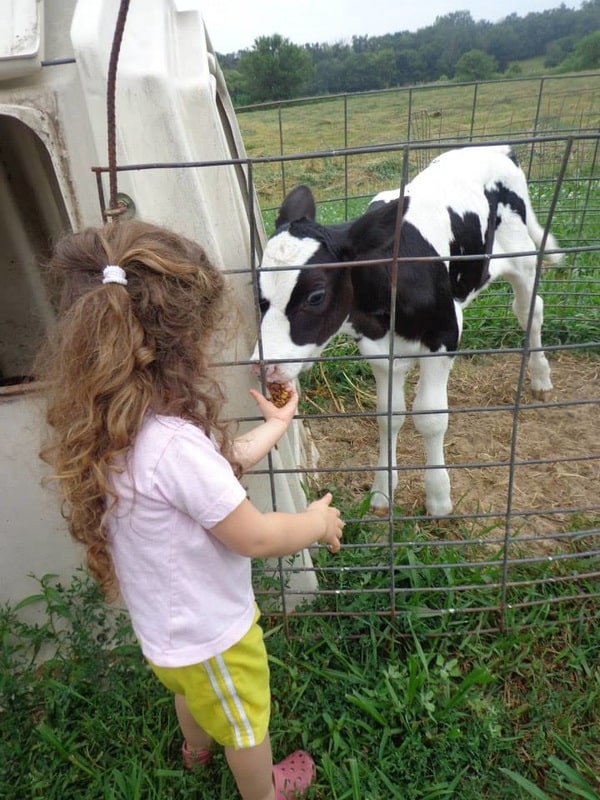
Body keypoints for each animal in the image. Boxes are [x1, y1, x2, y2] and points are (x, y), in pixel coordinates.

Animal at [251, 146, 560, 516]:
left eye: (315, 296)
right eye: (257, 292)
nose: (262, 366)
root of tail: (496, 148)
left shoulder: (445, 336)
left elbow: (430, 416)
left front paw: (439, 498)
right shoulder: (379, 351)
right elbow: (389, 415)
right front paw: (382, 492)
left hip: (523, 258)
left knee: (531, 311)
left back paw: (541, 379)